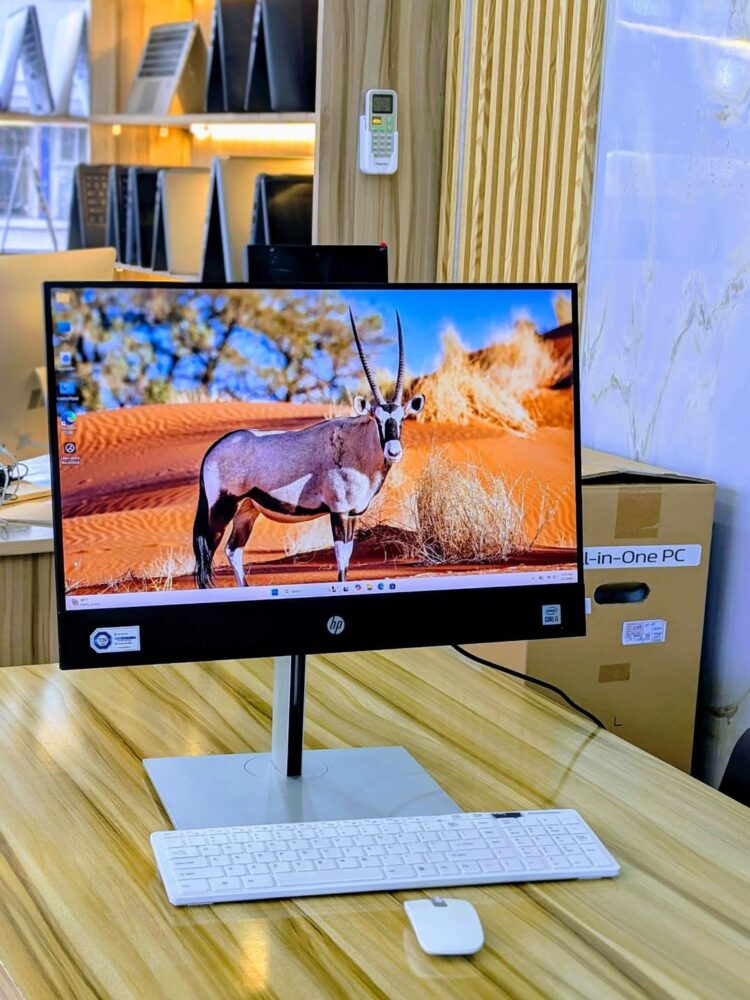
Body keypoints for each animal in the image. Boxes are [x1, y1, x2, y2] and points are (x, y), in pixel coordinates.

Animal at [192, 309, 425, 587]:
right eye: (377, 419)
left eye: (401, 419)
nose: (393, 451)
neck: (356, 446)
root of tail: (213, 449)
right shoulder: (339, 511)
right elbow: (341, 558)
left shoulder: (353, 514)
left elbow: (347, 556)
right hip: (221, 509)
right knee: (207, 552)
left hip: (247, 510)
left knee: (233, 549)